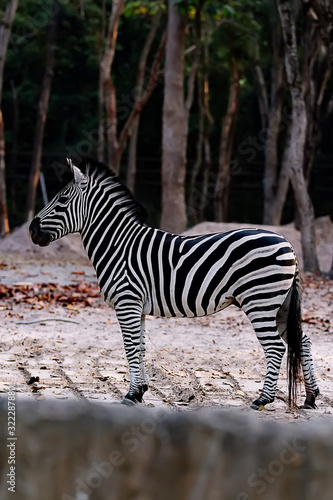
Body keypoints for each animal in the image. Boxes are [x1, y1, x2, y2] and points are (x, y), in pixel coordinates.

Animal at [29, 159, 320, 410]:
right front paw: (141, 391)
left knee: (276, 347)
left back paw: (263, 399)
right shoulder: (138, 307)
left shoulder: (127, 302)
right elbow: (140, 346)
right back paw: (311, 397)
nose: (32, 231)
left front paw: (131, 394)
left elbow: (130, 347)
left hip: (260, 301)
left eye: (62, 200)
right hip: (280, 304)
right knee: (303, 341)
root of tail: (287, 243)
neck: (118, 245)